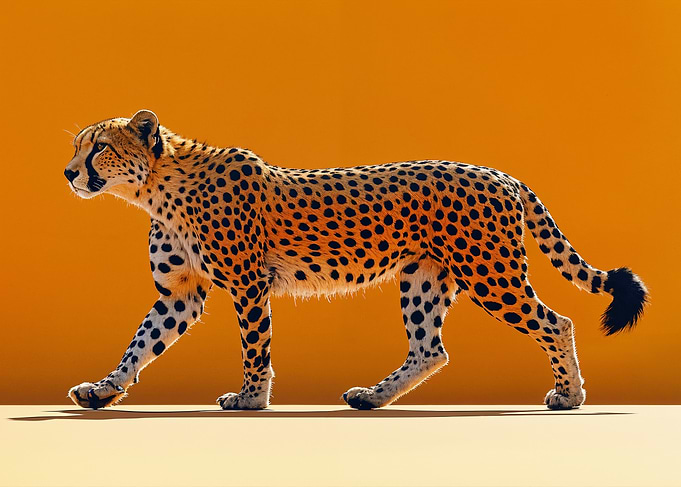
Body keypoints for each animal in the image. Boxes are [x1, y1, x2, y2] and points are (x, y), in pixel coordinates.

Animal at [64, 110, 648, 410]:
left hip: (491, 273)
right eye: (77, 147)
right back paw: (373, 396)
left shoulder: (248, 283)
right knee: (431, 349)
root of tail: (497, 171)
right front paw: (103, 390)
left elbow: (255, 346)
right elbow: (139, 345)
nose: (68, 173)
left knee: (556, 322)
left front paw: (251, 398)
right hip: (423, 277)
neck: (155, 188)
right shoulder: (179, 294)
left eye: (98, 148)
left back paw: (570, 395)